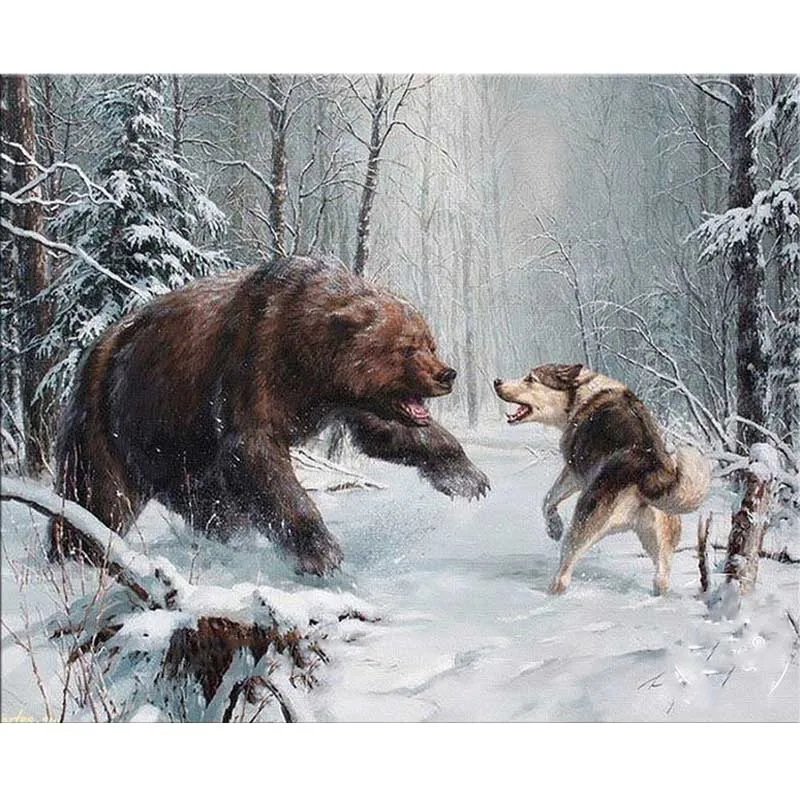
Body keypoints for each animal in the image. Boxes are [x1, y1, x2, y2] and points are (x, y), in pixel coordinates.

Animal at [50, 255, 490, 575]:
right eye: (406, 348)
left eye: (430, 344)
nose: (447, 374)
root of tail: (96, 350)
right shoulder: (252, 361)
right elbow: (254, 452)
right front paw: (321, 553)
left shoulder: (346, 399)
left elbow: (386, 431)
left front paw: (468, 478)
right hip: (110, 420)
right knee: (95, 498)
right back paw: (75, 556)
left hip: (177, 451)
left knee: (212, 507)